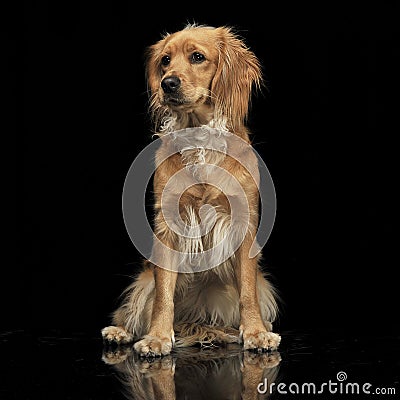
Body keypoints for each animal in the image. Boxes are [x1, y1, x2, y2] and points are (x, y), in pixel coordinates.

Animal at [101, 24, 280, 356]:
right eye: (165, 61)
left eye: (197, 57)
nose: (167, 83)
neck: (199, 138)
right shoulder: (168, 225)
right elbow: (163, 296)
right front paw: (157, 337)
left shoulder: (243, 224)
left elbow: (247, 292)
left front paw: (255, 332)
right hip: (143, 281)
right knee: (136, 309)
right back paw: (121, 331)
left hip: (263, 288)